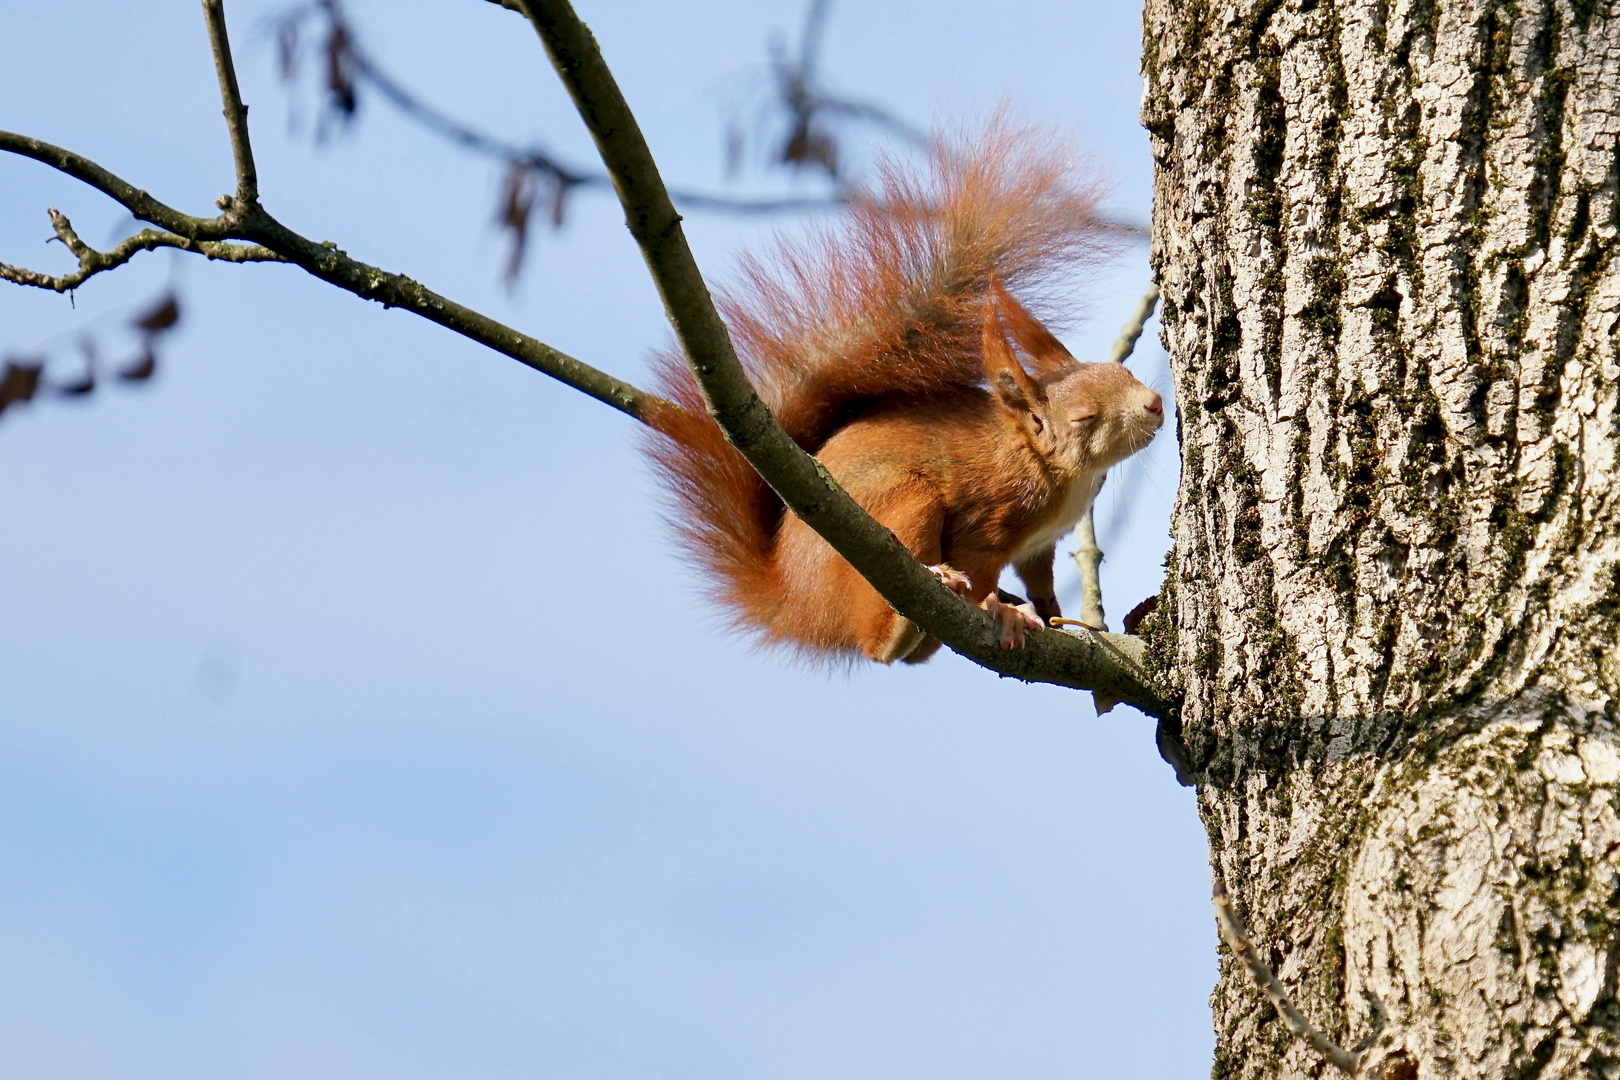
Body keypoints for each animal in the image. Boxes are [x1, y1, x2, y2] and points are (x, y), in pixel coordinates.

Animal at [644, 116, 1166, 660]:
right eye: (1084, 416)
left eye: (1123, 374)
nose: (1154, 404)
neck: (1054, 469)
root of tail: (798, 607)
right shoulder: (987, 526)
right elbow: (979, 571)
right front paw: (999, 609)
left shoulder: (1040, 546)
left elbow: (1039, 577)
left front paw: (1049, 612)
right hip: (904, 507)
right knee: (881, 645)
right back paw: (912, 622)